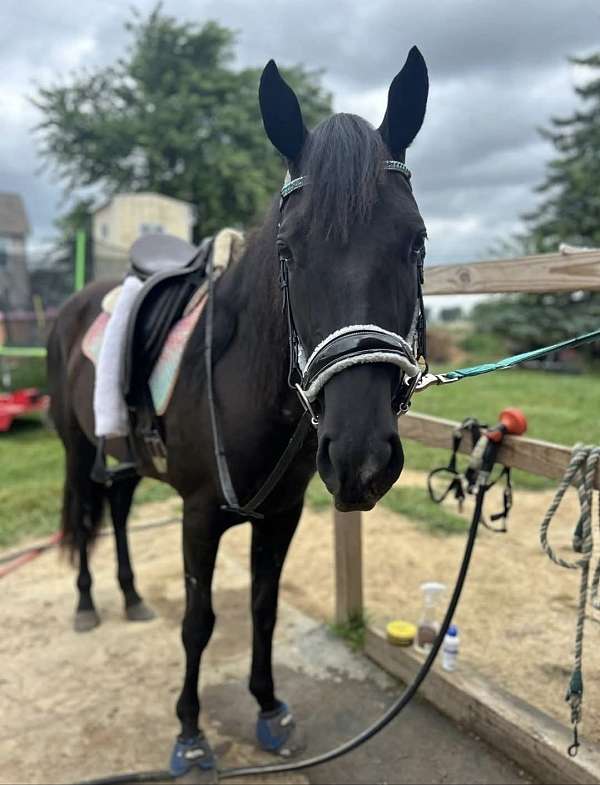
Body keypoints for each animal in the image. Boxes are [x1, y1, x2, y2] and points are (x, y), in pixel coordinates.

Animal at [47, 47, 429, 771]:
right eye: (287, 250)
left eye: (416, 242)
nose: (361, 458)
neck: (247, 382)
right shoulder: (199, 516)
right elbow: (199, 622)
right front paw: (190, 733)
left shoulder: (281, 515)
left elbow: (263, 608)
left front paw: (269, 707)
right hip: (79, 447)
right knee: (84, 512)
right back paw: (85, 604)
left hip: (126, 456)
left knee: (116, 509)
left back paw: (131, 597)